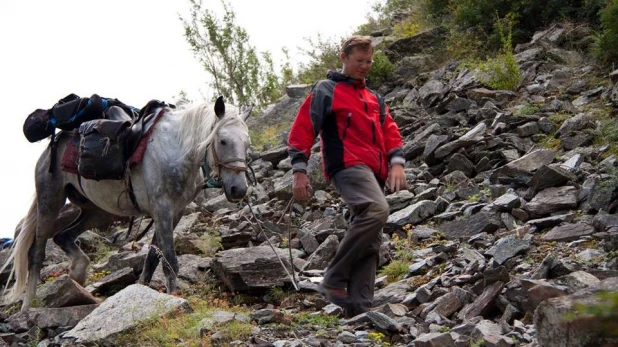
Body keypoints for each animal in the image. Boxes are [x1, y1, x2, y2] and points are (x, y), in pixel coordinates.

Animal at [2, 96, 251, 312]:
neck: (176, 150)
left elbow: (152, 258)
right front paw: (175, 298)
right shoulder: (162, 210)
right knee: (37, 253)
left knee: (63, 236)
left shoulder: (175, 212)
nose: (239, 189)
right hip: (50, 201)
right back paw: (27, 307)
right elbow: (170, 261)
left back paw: (78, 274)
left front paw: (141, 290)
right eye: (222, 141)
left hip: (98, 210)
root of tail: (51, 147)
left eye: (247, 143)